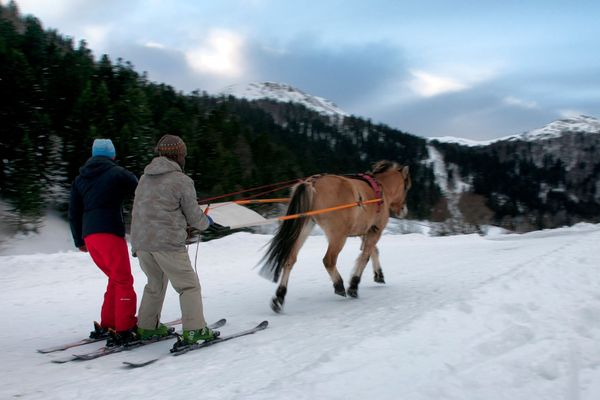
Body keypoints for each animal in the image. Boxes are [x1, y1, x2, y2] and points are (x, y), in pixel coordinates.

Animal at [260, 160, 410, 312]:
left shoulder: (365, 231)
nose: (404, 210)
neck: (381, 189)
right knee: (329, 260)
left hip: (304, 228)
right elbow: (365, 256)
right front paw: (354, 285)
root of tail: (312, 182)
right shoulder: (375, 231)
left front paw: (378, 274)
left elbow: (373, 251)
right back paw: (339, 285)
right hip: (338, 236)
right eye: (406, 187)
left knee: (290, 259)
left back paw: (279, 296)